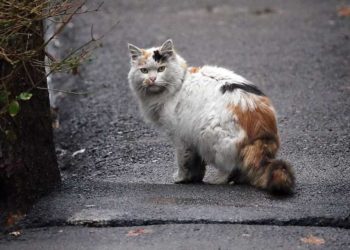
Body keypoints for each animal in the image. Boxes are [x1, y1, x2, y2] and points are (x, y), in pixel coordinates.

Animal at [127, 39, 294, 195]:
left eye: (161, 69)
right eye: (144, 71)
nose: (152, 79)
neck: (179, 83)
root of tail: (263, 130)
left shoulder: (180, 138)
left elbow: (183, 161)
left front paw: (181, 178)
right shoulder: (191, 140)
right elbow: (196, 163)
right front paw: (195, 178)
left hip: (210, 134)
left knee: (231, 168)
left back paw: (217, 180)